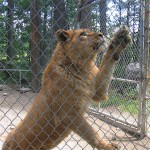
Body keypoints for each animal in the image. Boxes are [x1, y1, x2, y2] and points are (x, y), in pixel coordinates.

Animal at [2, 25, 131, 149]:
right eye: (83, 34)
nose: (101, 34)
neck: (83, 67)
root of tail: (6, 142)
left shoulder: (99, 92)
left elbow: (107, 63)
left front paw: (119, 40)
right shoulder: (68, 114)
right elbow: (91, 133)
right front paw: (108, 146)